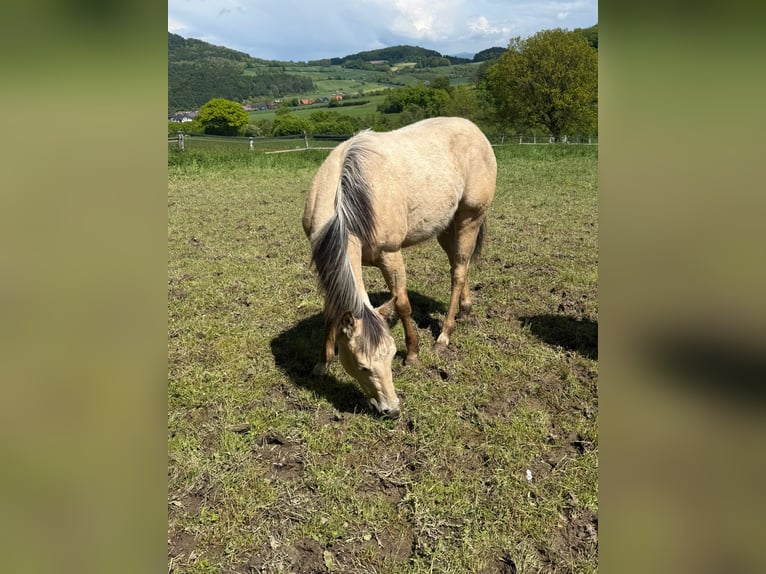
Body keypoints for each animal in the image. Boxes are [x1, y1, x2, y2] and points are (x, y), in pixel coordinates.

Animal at [302, 117, 497, 418]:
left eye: (393, 355)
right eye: (362, 366)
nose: (392, 410)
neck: (345, 205)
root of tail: (475, 131)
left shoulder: (390, 255)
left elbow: (403, 302)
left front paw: (414, 354)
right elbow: (331, 311)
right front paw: (322, 363)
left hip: (470, 219)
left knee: (459, 271)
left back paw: (444, 335)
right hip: (446, 226)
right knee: (458, 265)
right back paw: (465, 310)